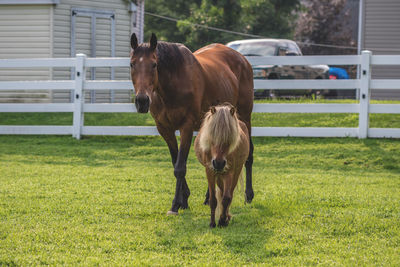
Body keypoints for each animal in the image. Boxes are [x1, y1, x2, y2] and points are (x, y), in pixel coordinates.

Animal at [130, 33, 255, 216]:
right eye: (132, 64)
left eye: (154, 64)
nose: (142, 101)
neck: (173, 82)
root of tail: (242, 59)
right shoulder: (165, 129)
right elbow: (176, 162)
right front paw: (184, 200)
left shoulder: (186, 127)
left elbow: (180, 167)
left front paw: (175, 204)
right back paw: (209, 197)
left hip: (245, 117)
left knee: (249, 154)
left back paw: (249, 195)